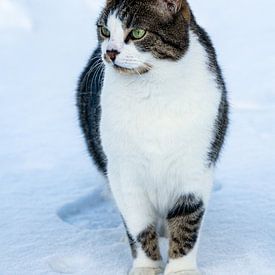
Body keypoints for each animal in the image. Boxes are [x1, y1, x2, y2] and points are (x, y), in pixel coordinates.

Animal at [77, 1, 229, 274]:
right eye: (105, 30)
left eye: (137, 33)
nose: (110, 52)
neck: (151, 89)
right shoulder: (125, 172)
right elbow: (137, 224)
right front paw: (146, 267)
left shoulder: (194, 167)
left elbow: (187, 222)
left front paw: (181, 269)